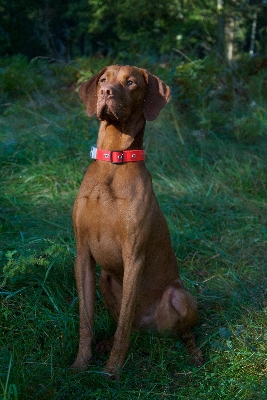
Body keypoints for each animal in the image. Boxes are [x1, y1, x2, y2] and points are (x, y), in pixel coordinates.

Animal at [71, 64, 203, 376]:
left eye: (130, 83)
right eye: (104, 80)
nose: (106, 92)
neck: (113, 161)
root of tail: (150, 330)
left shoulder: (134, 257)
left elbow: (123, 328)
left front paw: (112, 370)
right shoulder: (82, 255)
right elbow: (86, 322)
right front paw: (81, 364)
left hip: (179, 296)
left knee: (183, 331)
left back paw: (194, 355)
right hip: (105, 279)